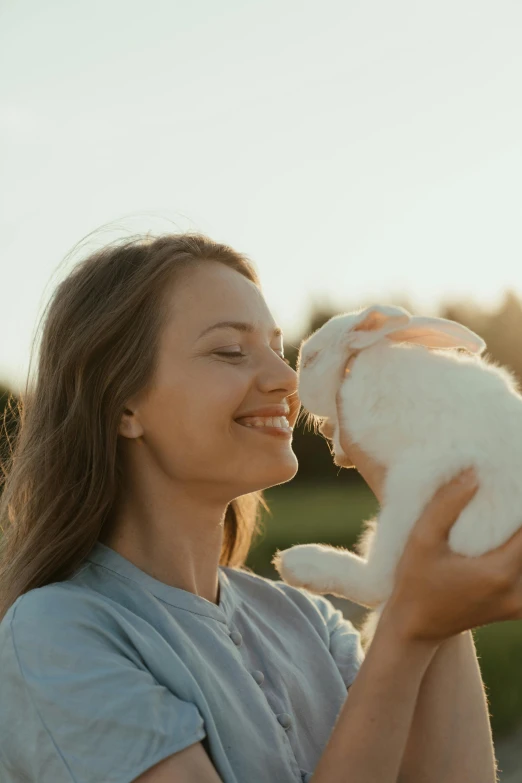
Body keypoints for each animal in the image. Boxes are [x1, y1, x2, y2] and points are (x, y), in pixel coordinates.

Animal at [270, 304, 520, 636]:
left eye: (310, 359)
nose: (295, 391)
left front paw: (340, 452)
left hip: (411, 496)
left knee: (379, 583)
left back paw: (296, 563)